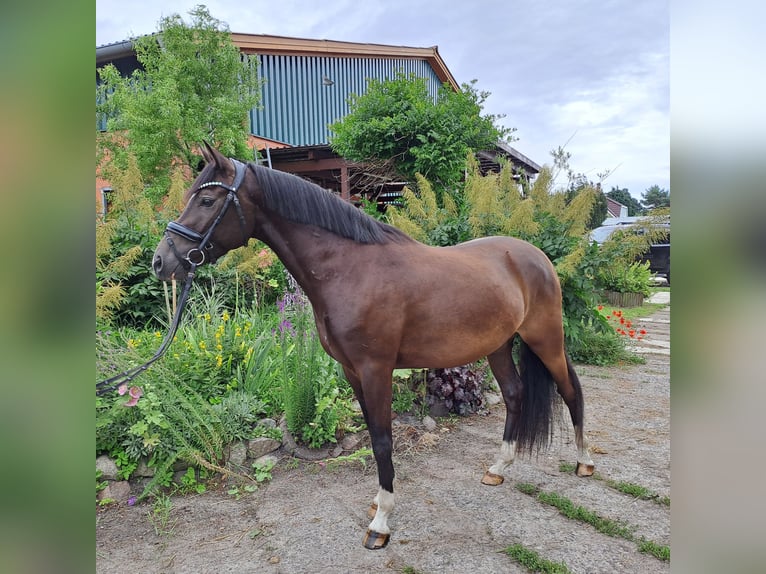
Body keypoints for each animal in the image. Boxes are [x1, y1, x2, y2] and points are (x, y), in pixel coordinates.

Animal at [150, 144, 592, 548]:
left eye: (207, 200)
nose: (161, 261)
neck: (350, 269)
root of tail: (536, 256)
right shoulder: (351, 371)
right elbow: (374, 434)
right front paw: (380, 503)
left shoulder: (375, 369)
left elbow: (381, 440)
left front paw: (381, 523)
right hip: (498, 345)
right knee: (515, 394)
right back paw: (498, 468)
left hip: (546, 339)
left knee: (571, 391)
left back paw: (584, 463)